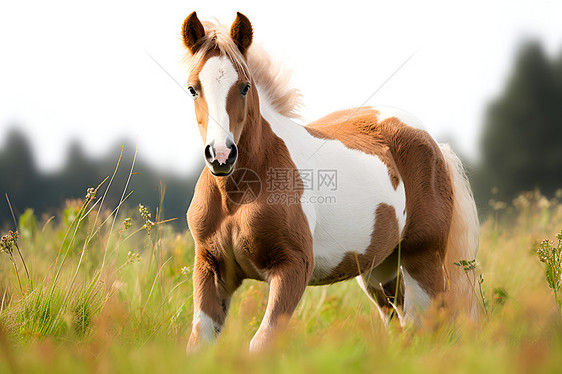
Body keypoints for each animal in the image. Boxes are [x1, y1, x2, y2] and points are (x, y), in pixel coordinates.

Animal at [182, 10, 480, 352]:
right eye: (192, 88)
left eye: (244, 87)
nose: (221, 156)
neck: (237, 195)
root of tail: (432, 142)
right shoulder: (211, 268)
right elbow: (199, 343)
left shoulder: (292, 267)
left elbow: (262, 342)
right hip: (380, 270)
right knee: (399, 322)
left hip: (422, 258)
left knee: (428, 326)